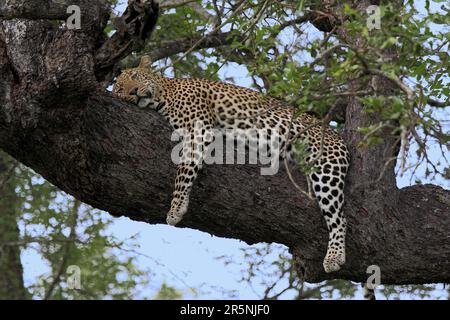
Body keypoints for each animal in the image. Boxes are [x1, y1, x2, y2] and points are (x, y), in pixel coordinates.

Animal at [112, 57, 352, 272]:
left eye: (135, 77)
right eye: (120, 89)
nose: (133, 92)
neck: (165, 93)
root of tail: (337, 135)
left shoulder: (197, 129)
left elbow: (184, 169)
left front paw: (176, 208)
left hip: (325, 166)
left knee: (340, 218)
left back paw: (334, 256)